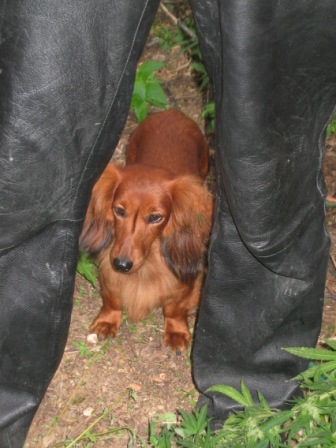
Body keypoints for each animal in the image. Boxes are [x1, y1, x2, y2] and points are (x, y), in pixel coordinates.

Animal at [79, 109, 213, 350]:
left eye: (155, 217)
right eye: (119, 210)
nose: (122, 265)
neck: (148, 262)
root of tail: (172, 113)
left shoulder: (183, 279)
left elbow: (174, 309)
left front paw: (176, 331)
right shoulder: (109, 269)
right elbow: (112, 300)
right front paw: (107, 321)